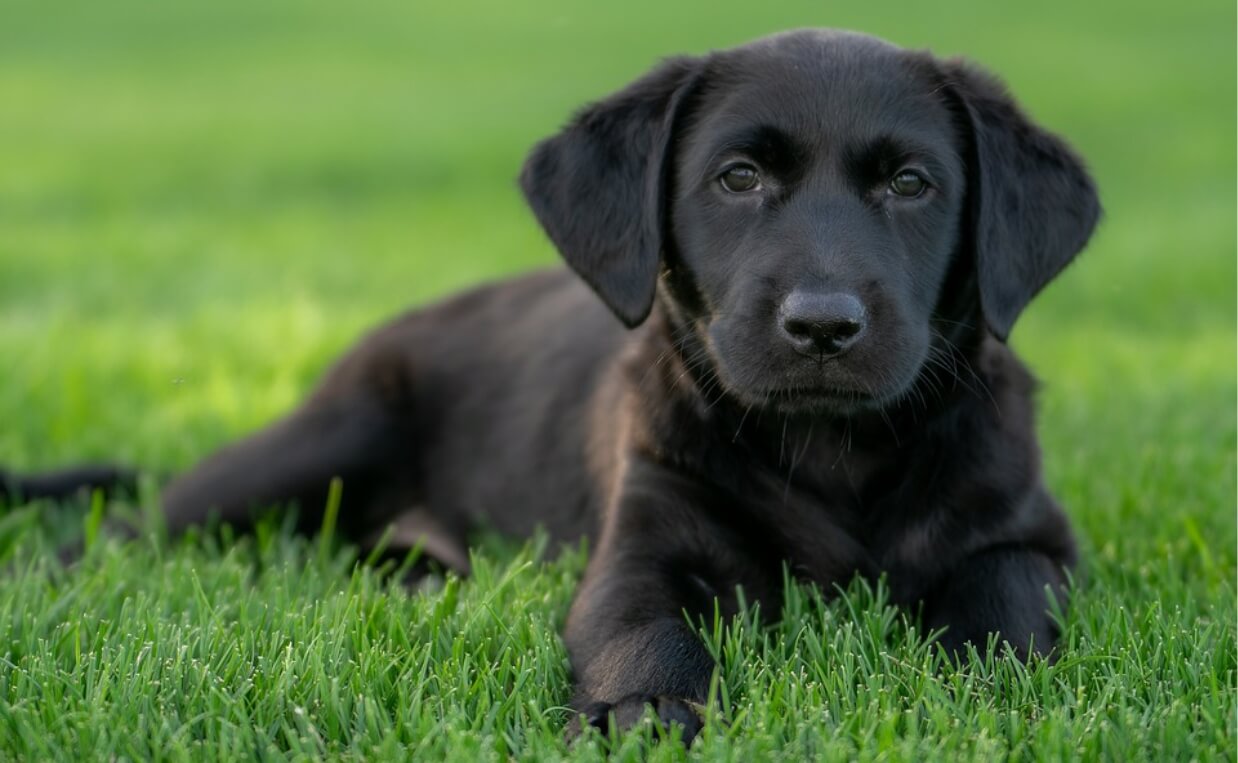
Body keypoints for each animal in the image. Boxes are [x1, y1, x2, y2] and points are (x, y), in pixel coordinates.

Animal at [2, 29, 1104, 743]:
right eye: (737, 178)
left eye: (910, 184)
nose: (823, 326)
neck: (836, 452)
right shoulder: (642, 537)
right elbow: (638, 626)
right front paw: (640, 710)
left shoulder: (1029, 533)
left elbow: (1005, 592)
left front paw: (983, 684)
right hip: (315, 443)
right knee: (130, 528)